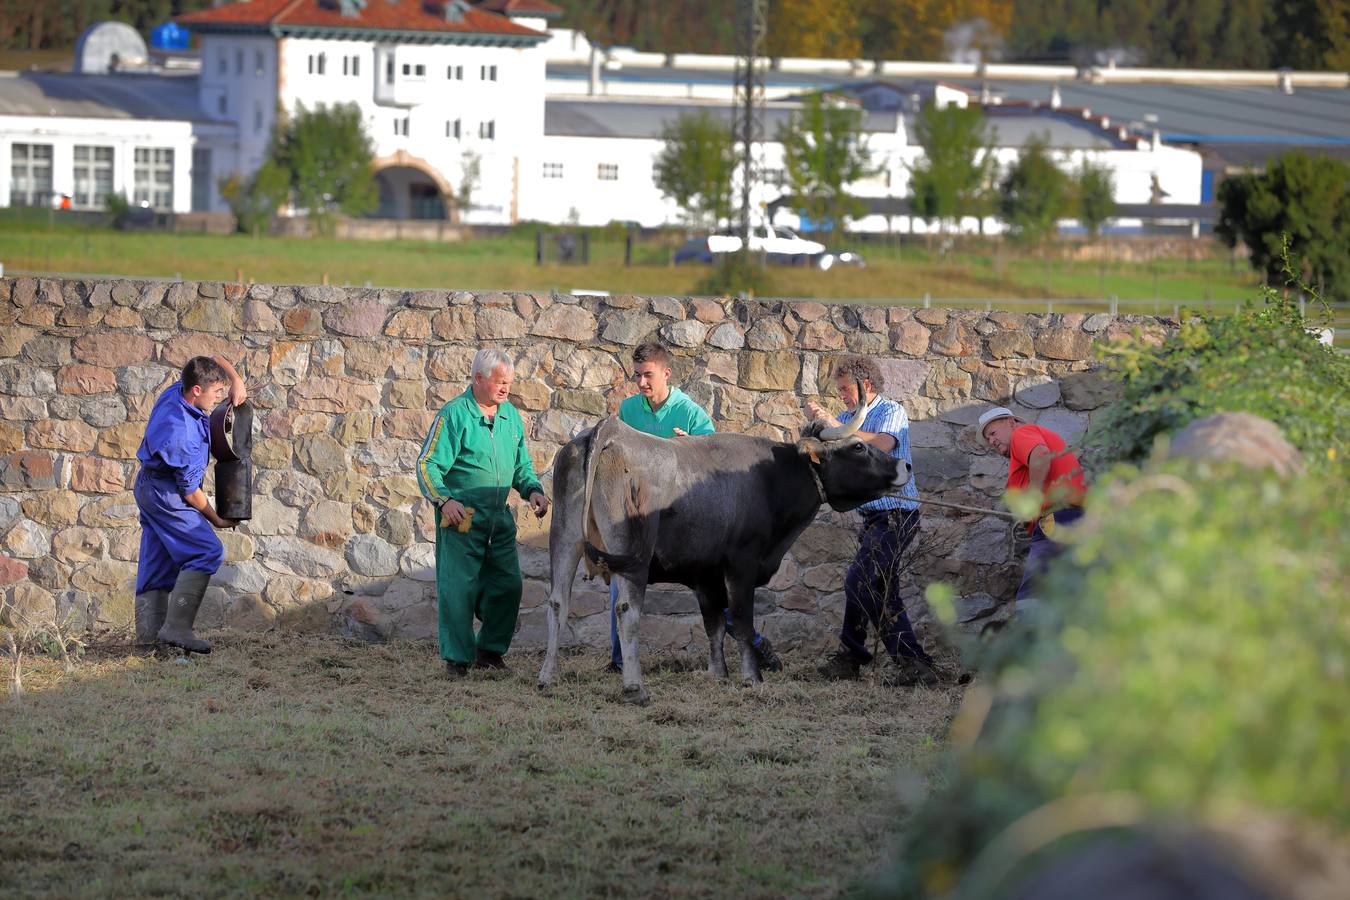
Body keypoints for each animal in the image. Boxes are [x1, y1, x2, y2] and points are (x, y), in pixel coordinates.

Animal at [534, 404, 907, 707]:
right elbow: (741, 620)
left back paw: (547, 678)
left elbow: (713, 624)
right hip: (632, 555)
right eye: (858, 446)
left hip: (565, 539)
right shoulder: (741, 565)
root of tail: (608, 430)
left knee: (558, 603)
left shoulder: (706, 576)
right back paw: (635, 687)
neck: (768, 477)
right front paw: (751, 676)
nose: (903, 463)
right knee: (627, 610)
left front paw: (718, 673)